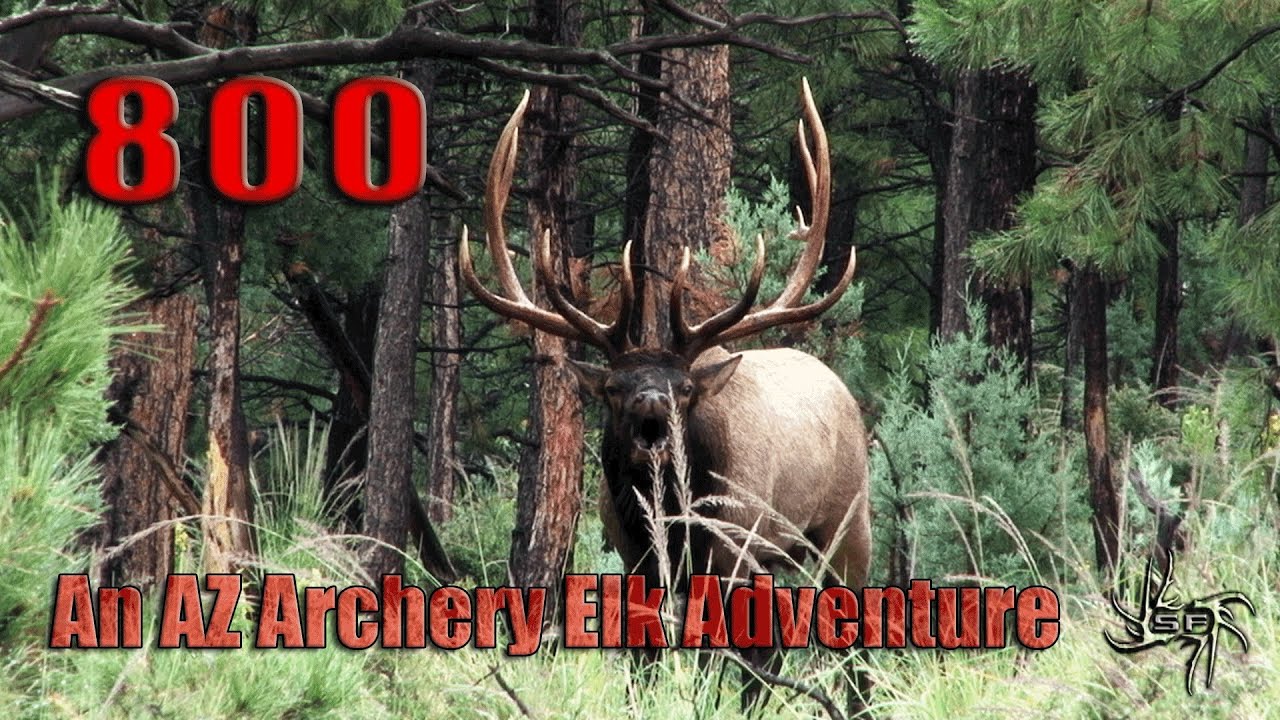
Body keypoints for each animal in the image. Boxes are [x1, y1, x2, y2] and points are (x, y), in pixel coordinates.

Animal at [460, 79, 871, 715]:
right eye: (612, 387)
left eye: (685, 388)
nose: (651, 404)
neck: (674, 519)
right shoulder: (635, 560)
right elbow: (643, 664)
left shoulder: (730, 549)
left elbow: (710, 663)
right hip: (778, 556)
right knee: (773, 655)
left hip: (847, 526)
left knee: (853, 647)